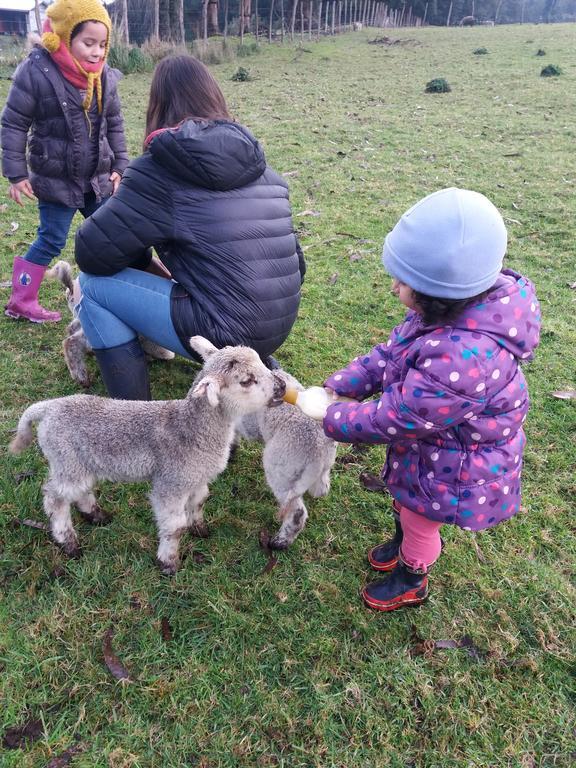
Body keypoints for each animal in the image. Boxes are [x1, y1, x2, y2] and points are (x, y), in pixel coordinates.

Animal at [7, 332, 286, 572]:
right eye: (246, 381)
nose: (282, 386)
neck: (191, 428)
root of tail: (47, 408)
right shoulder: (171, 483)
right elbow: (174, 527)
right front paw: (169, 563)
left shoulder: (196, 478)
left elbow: (199, 502)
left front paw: (200, 529)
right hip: (65, 457)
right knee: (54, 498)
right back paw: (69, 542)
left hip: (79, 462)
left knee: (78, 490)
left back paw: (96, 515)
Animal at [47, 260, 174, 390]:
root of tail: (71, 290)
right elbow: (155, 347)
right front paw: (166, 355)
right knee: (71, 342)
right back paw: (82, 377)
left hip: (81, 318)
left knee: (71, 328)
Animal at [236, 368, 340, 548]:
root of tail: (317, 453)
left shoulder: (247, 423)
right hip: (321, 467)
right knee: (322, 487)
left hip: (282, 473)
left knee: (297, 512)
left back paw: (280, 542)